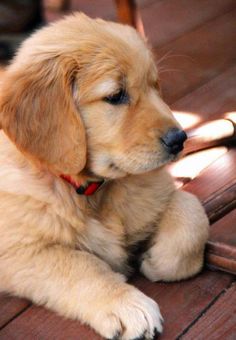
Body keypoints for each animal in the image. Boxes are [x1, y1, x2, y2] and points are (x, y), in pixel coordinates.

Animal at [0, 13, 208, 340]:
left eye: (155, 86)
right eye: (115, 96)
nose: (180, 139)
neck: (91, 192)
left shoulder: (160, 190)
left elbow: (192, 215)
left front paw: (157, 262)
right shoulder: (18, 251)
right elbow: (79, 264)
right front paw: (126, 305)